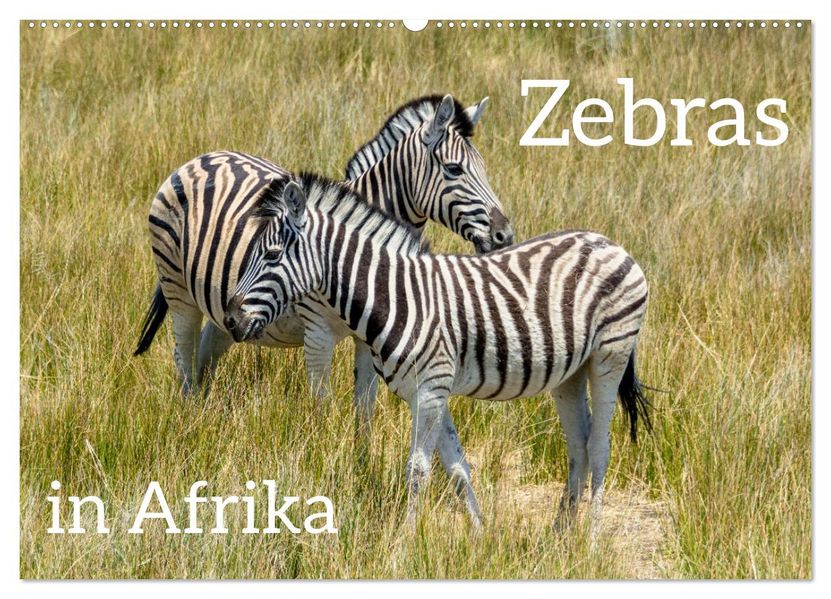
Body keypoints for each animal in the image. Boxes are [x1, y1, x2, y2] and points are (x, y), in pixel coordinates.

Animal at [134, 94, 514, 413]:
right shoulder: (317, 334)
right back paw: (187, 421)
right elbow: (321, 409)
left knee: (204, 358)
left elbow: (365, 409)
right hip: (178, 289)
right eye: (454, 169)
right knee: (184, 357)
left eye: (484, 168)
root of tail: (199, 159)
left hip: (223, 309)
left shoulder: (369, 339)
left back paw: (202, 419)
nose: (504, 235)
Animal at [223, 175, 652, 532]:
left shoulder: (431, 389)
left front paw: (404, 540)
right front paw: (480, 535)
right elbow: (457, 466)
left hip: (609, 356)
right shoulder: (428, 391)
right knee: (578, 446)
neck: (396, 297)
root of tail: (611, 243)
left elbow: (418, 470)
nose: (230, 320)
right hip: (569, 373)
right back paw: (560, 536)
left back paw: (590, 538)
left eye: (272, 255)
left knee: (599, 446)